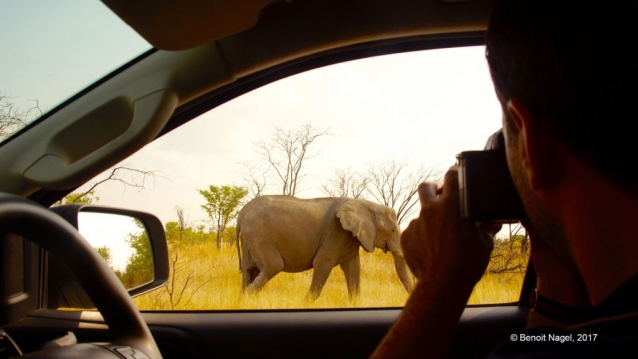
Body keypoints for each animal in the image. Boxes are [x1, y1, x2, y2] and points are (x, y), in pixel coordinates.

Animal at [235, 195, 416, 300]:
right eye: (392, 230)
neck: (366, 204)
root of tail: (242, 212)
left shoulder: (349, 237)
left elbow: (353, 268)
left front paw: (355, 303)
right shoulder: (336, 233)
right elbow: (323, 263)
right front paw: (306, 303)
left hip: (250, 238)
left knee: (249, 271)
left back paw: (243, 302)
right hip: (259, 234)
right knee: (272, 266)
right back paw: (247, 299)